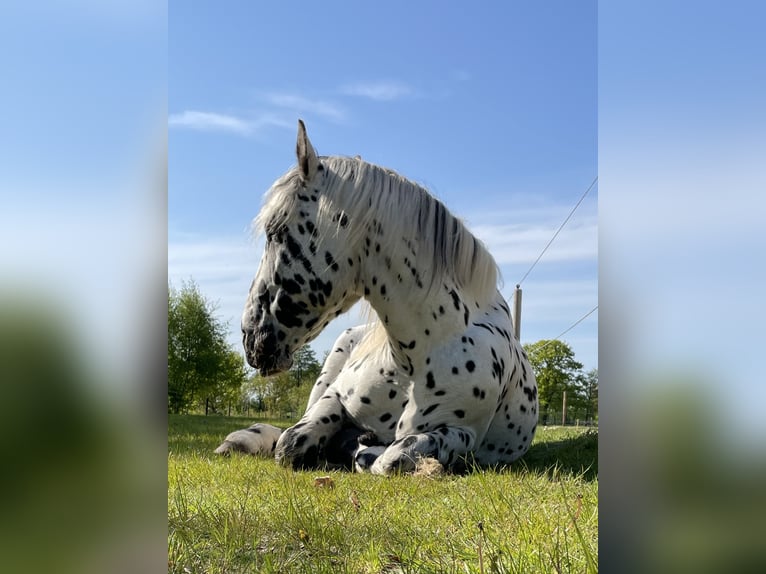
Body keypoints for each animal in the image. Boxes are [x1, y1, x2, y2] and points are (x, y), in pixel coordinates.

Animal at [241, 120, 538, 474]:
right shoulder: (333, 398)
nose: (249, 336)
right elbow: (290, 442)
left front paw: (362, 447)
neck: (412, 356)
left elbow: (389, 457)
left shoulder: (462, 433)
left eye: (275, 231)